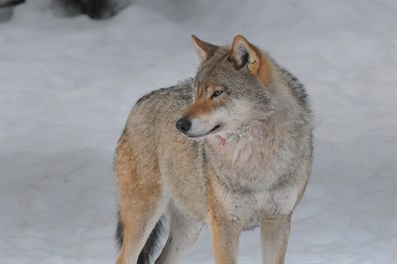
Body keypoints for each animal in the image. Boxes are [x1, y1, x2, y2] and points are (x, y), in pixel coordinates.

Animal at [114, 35, 312, 264]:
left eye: (217, 93)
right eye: (195, 93)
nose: (180, 125)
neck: (256, 160)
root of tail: (138, 104)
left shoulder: (278, 220)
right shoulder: (225, 226)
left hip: (189, 228)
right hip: (145, 217)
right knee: (124, 258)